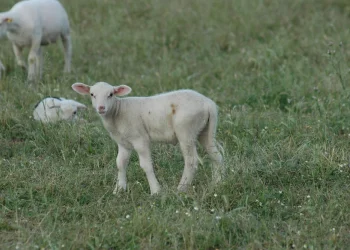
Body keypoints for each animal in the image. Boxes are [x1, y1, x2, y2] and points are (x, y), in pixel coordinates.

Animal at [72, 82, 223, 195]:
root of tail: (208, 103)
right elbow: (120, 163)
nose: (101, 108)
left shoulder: (140, 139)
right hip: (205, 130)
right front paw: (119, 189)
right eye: (92, 94)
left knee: (191, 161)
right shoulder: (123, 143)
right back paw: (217, 183)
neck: (118, 112)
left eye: (111, 94)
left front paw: (156, 191)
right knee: (216, 155)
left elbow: (146, 165)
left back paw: (181, 189)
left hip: (186, 130)